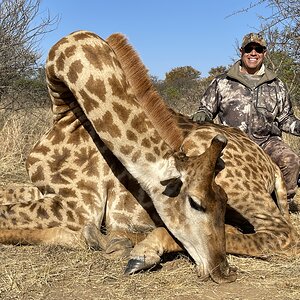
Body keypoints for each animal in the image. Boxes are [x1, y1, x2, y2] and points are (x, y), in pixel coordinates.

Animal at [0, 30, 237, 284]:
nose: (223, 271)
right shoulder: (47, 190)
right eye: (195, 203)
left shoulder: (80, 208)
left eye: (224, 201)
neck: (66, 114)